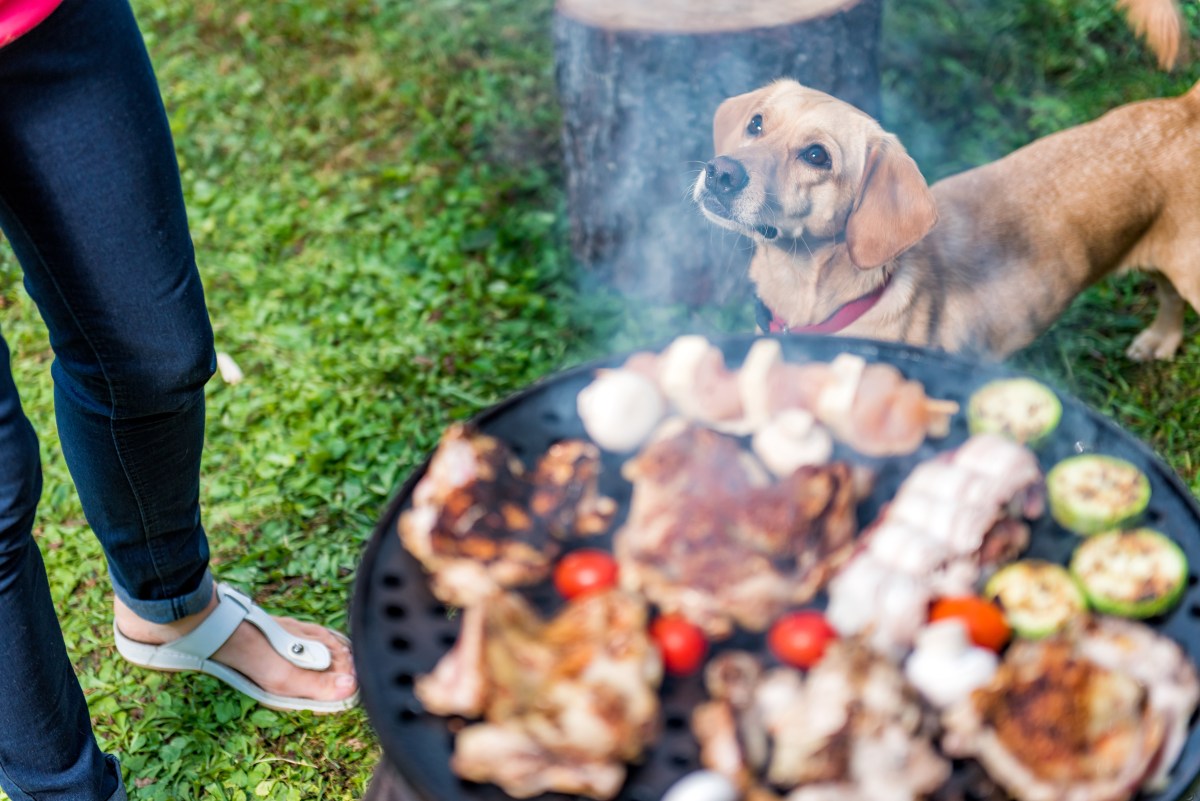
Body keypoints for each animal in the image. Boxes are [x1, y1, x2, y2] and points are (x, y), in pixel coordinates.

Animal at [691, 77, 1200, 359]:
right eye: (757, 123)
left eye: (817, 155)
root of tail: (1184, 109)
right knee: (1169, 298)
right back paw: (1160, 340)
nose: (720, 172)